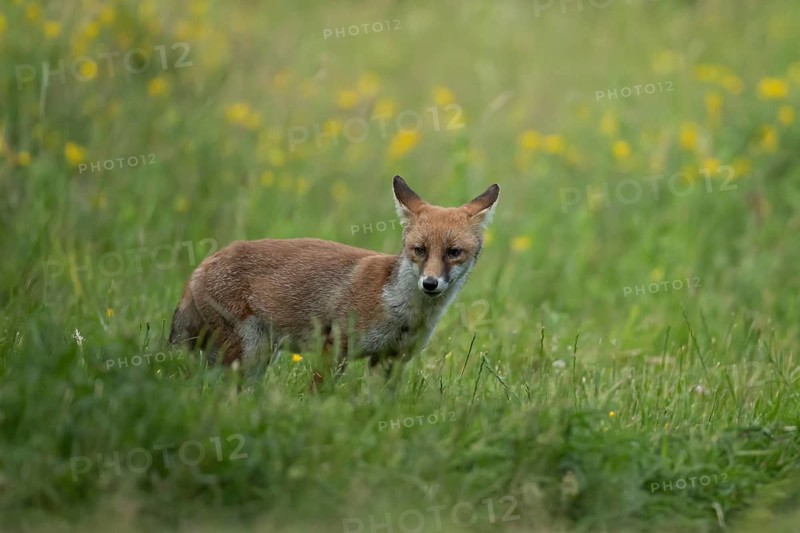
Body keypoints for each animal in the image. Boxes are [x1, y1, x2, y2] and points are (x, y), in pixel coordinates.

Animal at [168, 175, 499, 379]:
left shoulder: (390, 360)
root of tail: (201, 265)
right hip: (247, 354)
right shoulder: (334, 347)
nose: (430, 283)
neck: (399, 311)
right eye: (419, 250)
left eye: (453, 252)